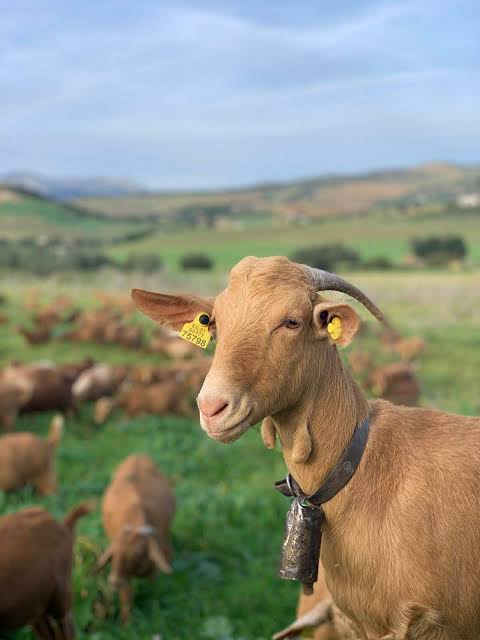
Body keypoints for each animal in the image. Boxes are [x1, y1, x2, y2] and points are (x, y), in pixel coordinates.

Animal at [97, 454, 175, 622]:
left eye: (137, 553)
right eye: (114, 555)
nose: (114, 582)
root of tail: (138, 455)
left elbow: (153, 587)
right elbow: (126, 599)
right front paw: (127, 623)